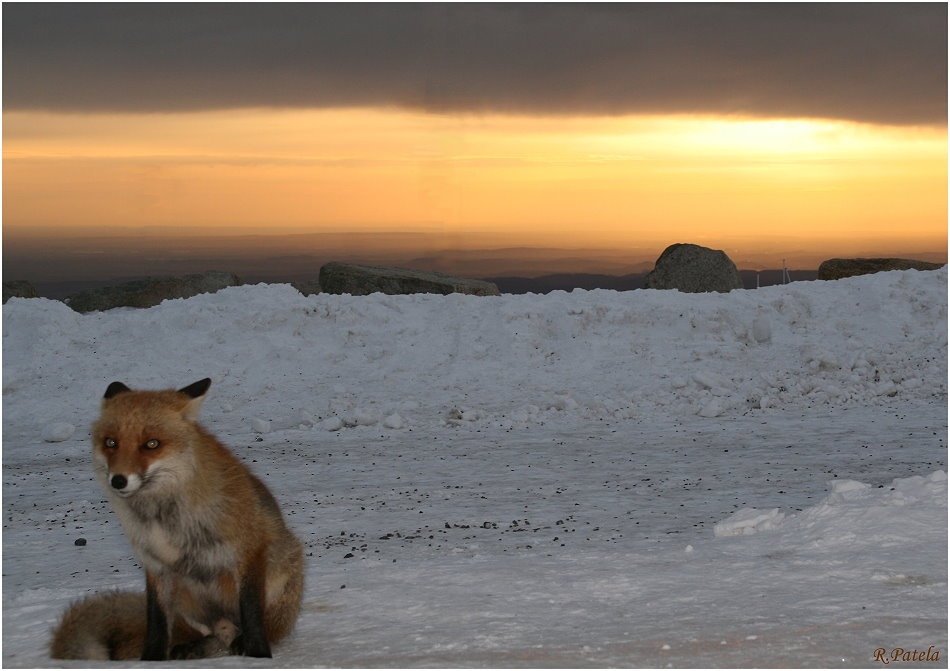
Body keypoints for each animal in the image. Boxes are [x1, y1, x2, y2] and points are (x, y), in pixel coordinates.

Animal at [48, 378, 304, 660]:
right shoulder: (155, 564)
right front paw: (150, 660)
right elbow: (156, 622)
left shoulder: (248, 552)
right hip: (187, 596)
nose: (118, 480)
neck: (165, 518)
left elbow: (252, 614)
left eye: (152, 444)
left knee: (255, 628)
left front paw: (258, 656)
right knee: (213, 633)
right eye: (111, 442)